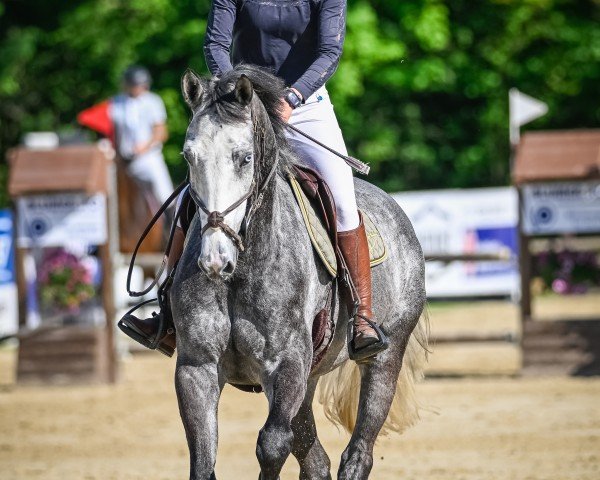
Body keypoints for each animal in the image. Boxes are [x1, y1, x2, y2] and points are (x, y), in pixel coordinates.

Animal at [171, 64, 428, 480]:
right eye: (189, 157)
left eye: (244, 158)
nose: (214, 261)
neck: (243, 269)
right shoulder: (197, 368)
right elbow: (203, 460)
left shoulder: (285, 364)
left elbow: (272, 444)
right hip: (308, 377)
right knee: (316, 459)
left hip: (384, 357)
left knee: (358, 451)